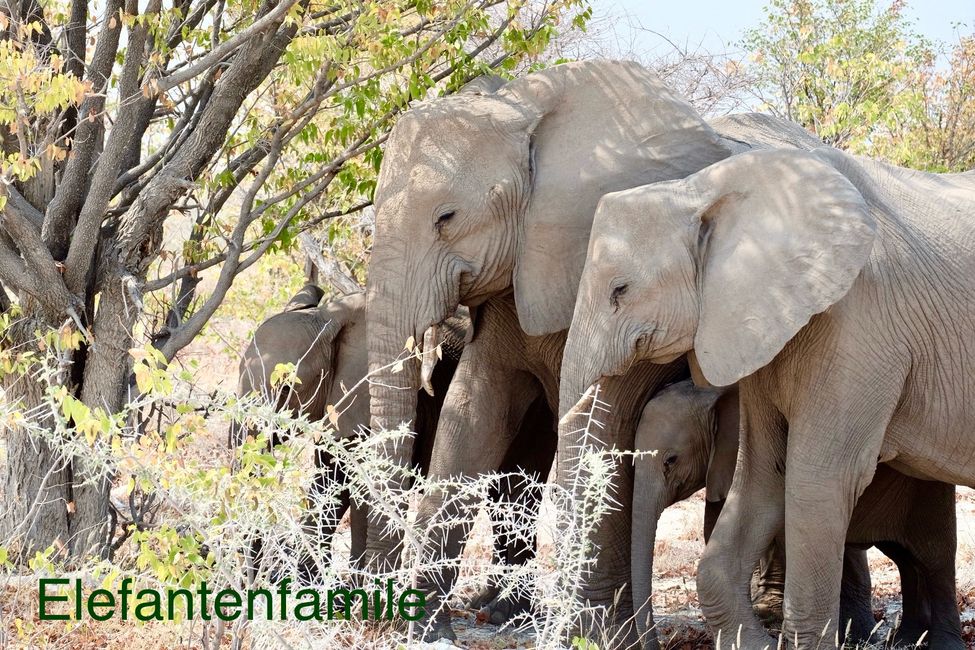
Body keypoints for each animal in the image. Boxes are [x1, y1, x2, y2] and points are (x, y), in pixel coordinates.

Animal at [362, 57, 836, 644]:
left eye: (446, 218)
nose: (374, 614)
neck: (528, 107)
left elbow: (600, 422)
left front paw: (596, 632)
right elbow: (472, 414)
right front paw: (427, 627)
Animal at [632, 380, 960, 648]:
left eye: (671, 460)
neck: (712, 396)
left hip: (927, 489)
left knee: (934, 558)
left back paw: (935, 642)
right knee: (906, 559)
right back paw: (906, 639)